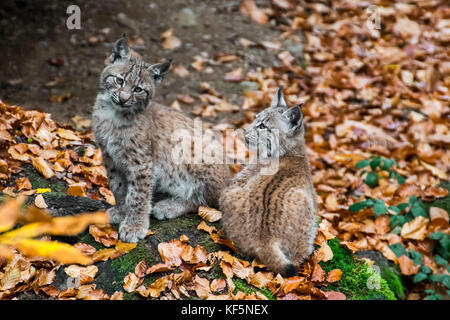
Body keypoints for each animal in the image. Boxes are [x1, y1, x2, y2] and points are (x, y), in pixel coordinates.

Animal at [92, 35, 230, 241]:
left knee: (206, 201)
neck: (113, 114)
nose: (123, 99)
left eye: (138, 89)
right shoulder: (109, 156)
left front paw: (134, 226)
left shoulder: (141, 162)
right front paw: (121, 211)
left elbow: (137, 195)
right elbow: (117, 186)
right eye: (119, 80)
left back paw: (169, 206)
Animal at [220, 88, 318, 278]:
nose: (244, 132)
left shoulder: (236, 182)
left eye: (263, 126)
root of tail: (265, 239)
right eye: (255, 118)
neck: (292, 150)